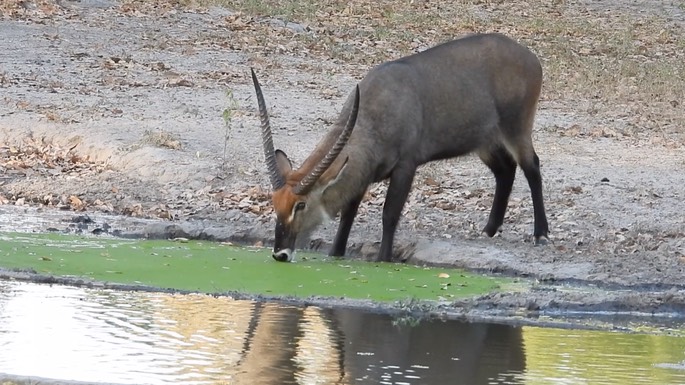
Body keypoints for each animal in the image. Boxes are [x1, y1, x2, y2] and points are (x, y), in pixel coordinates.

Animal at [252, 33, 552, 262]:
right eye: (275, 203)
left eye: (301, 205)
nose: (280, 253)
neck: (376, 110)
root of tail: (530, 56)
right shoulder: (364, 176)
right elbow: (348, 215)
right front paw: (336, 253)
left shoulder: (406, 166)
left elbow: (389, 214)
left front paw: (384, 259)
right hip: (485, 141)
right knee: (505, 171)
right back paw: (489, 229)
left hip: (516, 128)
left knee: (531, 167)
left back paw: (541, 234)